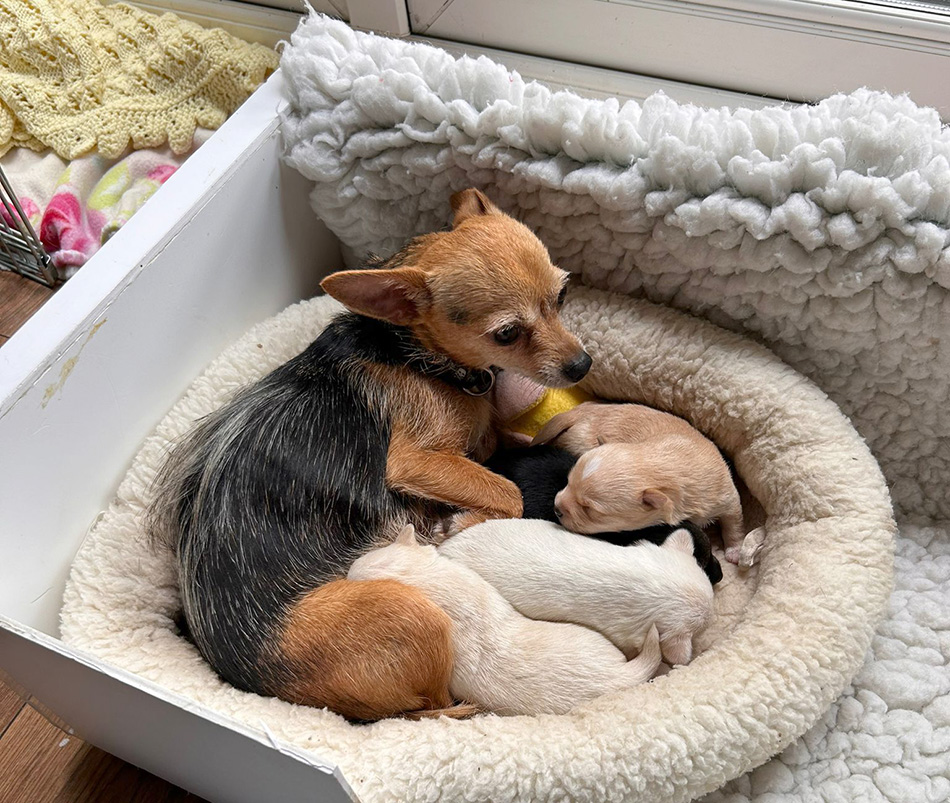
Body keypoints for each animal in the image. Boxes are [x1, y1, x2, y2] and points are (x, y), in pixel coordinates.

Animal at [149, 188, 592, 724]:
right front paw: (459, 522)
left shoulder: (486, 436)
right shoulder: (413, 461)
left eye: (562, 296)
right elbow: (507, 492)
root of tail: (258, 684)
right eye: (506, 334)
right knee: (432, 706)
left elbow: (502, 443)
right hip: (412, 615)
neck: (413, 351)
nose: (582, 365)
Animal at [532, 402, 756, 564]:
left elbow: (733, 521)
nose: (556, 507)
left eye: (589, 509)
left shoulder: (726, 495)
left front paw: (734, 550)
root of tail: (578, 412)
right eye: (567, 482)